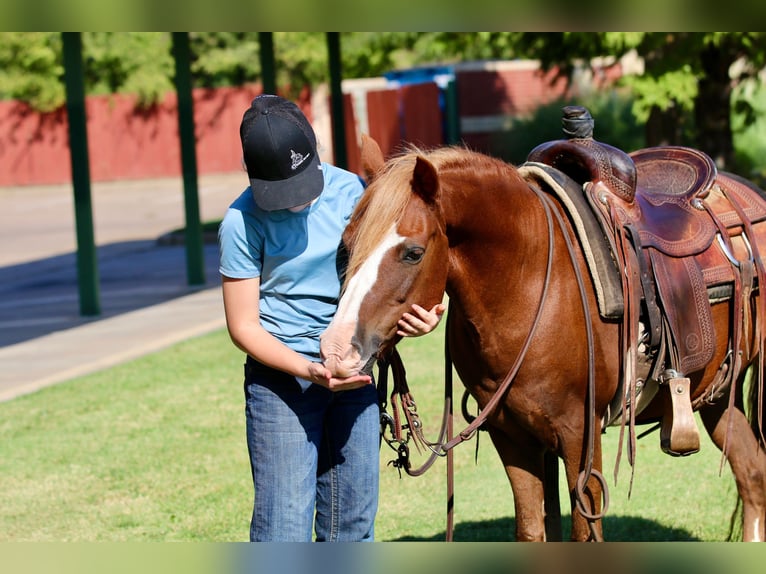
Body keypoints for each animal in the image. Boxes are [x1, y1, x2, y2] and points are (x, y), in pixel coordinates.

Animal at [318, 127, 766, 542]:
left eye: (412, 252)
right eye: (345, 245)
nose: (337, 349)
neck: (529, 285)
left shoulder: (580, 434)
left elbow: (585, 532)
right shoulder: (511, 436)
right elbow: (532, 529)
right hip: (718, 395)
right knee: (751, 473)